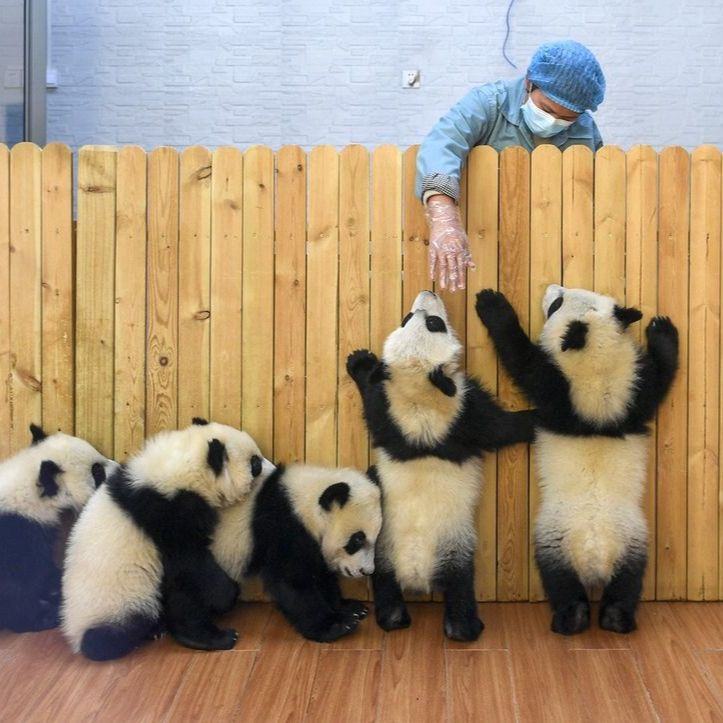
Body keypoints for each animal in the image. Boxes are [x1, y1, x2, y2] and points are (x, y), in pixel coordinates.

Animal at [62, 419, 275, 661]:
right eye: (255, 463)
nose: (273, 470)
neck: (182, 465)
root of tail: (74, 634)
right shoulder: (167, 511)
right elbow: (191, 558)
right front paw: (227, 594)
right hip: (120, 600)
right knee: (113, 633)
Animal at [246, 464, 382, 642]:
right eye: (358, 539)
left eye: (376, 537)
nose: (366, 571)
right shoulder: (282, 528)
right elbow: (292, 581)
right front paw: (335, 625)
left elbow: (320, 573)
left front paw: (350, 608)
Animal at [346, 290, 535, 641]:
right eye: (433, 323)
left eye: (413, 319)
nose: (428, 293)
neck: (418, 389)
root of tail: (414, 570)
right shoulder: (461, 414)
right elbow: (500, 428)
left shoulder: (391, 415)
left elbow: (373, 403)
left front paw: (361, 365)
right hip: (452, 551)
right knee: (460, 589)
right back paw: (466, 627)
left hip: (380, 554)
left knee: (386, 588)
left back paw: (393, 618)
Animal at [475, 285, 679, 635]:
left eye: (557, 304)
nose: (552, 288)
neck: (600, 366)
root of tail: (595, 554)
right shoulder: (632, 396)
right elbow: (657, 381)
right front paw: (663, 332)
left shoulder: (561, 389)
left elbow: (523, 361)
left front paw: (493, 304)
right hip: (633, 542)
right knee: (628, 582)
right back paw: (616, 617)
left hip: (556, 539)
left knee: (559, 581)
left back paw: (572, 617)